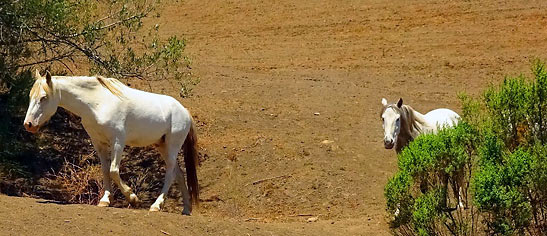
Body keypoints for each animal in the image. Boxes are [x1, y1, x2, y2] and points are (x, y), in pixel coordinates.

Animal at [24, 69, 199, 215]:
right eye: (30, 97)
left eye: (43, 97)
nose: (28, 124)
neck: (98, 103)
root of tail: (185, 111)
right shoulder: (99, 143)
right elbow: (105, 170)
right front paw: (105, 200)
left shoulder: (117, 142)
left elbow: (113, 170)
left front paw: (133, 198)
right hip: (162, 146)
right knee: (179, 173)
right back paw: (186, 209)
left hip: (172, 146)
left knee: (170, 173)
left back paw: (156, 205)